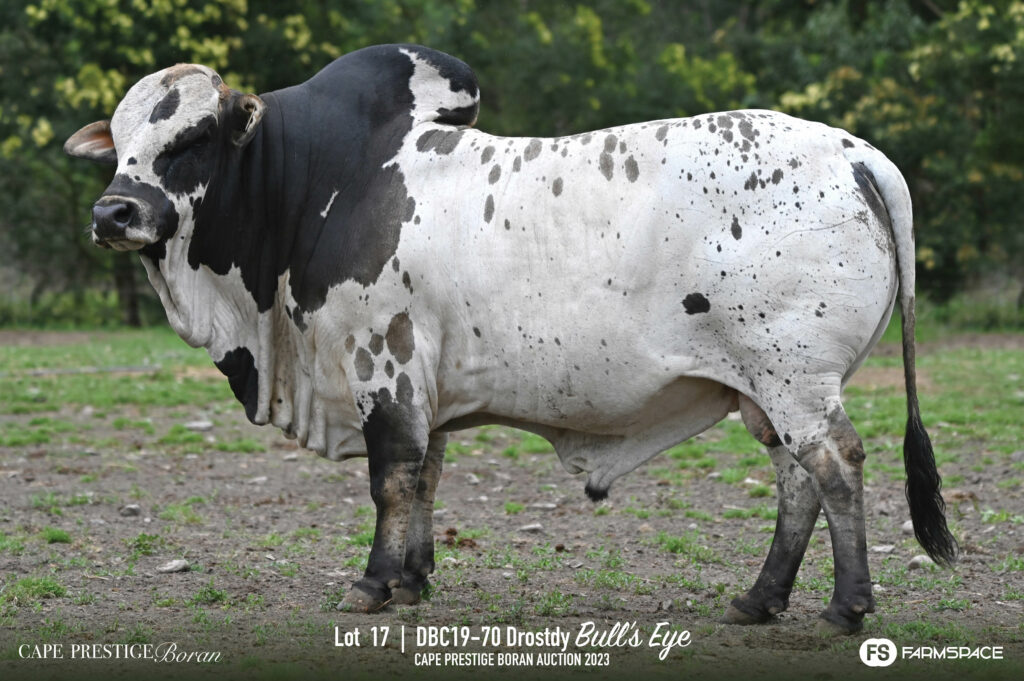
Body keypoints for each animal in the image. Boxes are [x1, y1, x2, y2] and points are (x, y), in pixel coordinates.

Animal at [64, 44, 957, 633]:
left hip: (793, 377)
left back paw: (845, 606)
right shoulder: (421, 382)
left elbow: (391, 479)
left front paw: (374, 582)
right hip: (764, 390)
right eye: (121, 139)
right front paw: (414, 579)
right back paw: (759, 597)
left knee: (835, 466)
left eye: (191, 138)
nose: (114, 212)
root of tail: (856, 154)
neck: (316, 181)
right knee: (797, 480)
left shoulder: (381, 363)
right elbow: (425, 477)